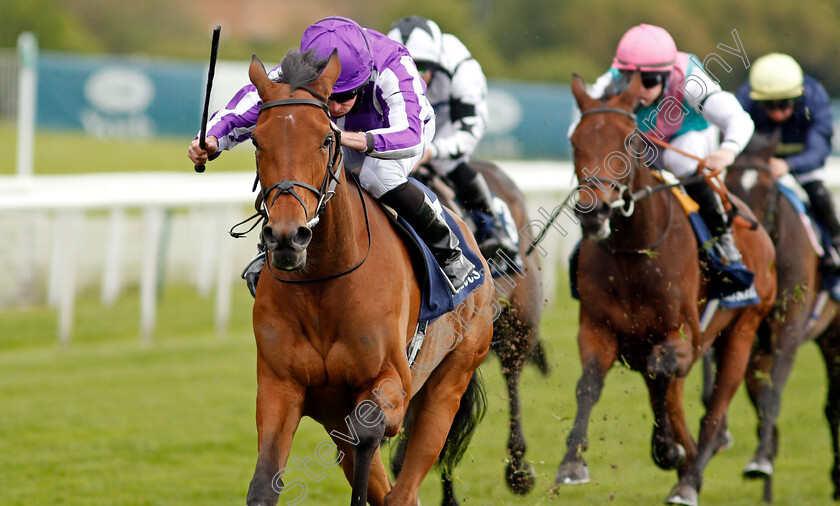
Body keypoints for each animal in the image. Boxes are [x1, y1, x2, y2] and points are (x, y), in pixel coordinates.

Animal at [243, 48, 496, 506]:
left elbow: (368, 430)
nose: (288, 236)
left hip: (450, 382)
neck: (323, 282)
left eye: (326, 139)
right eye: (257, 140)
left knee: (403, 489)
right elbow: (264, 484)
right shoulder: (280, 387)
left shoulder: (392, 383)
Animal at [556, 72, 776, 506]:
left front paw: (671, 451)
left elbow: (662, 372)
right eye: (575, 142)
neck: (635, 252)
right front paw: (573, 463)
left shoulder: (682, 333)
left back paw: (688, 480)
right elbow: (589, 383)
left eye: (629, 140)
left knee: (713, 412)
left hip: (741, 331)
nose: (594, 212)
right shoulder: (599, 329)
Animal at [720, 131, 840, 502]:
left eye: (767, 188)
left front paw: (761, 460)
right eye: (728, 184)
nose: (743, 234)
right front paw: (765, 462)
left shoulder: (788, 332)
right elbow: (760, 403)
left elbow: (772, 397)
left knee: (833, 405)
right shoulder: (754, 341)